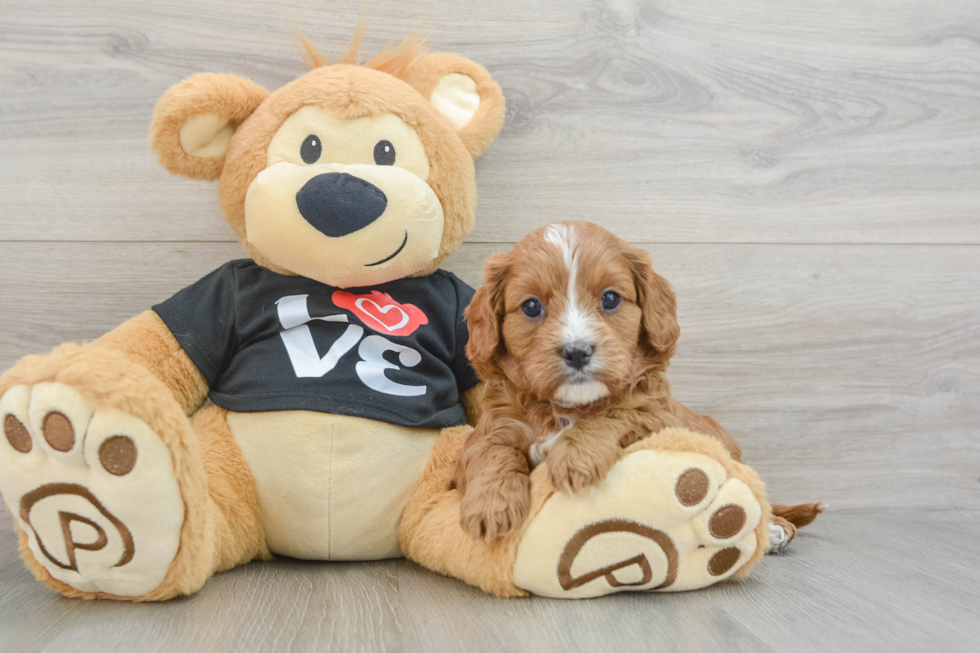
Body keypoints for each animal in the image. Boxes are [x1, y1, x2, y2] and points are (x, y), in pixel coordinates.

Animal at [460, 222, 820, 544]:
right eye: (532, 306)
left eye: (610, 299)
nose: (577, 352)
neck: (568, 408)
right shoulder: (492, 428)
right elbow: (489, 452)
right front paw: (490, 504)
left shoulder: (658, 419)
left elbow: (617, 415)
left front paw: (576, 456)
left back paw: (776, 529)